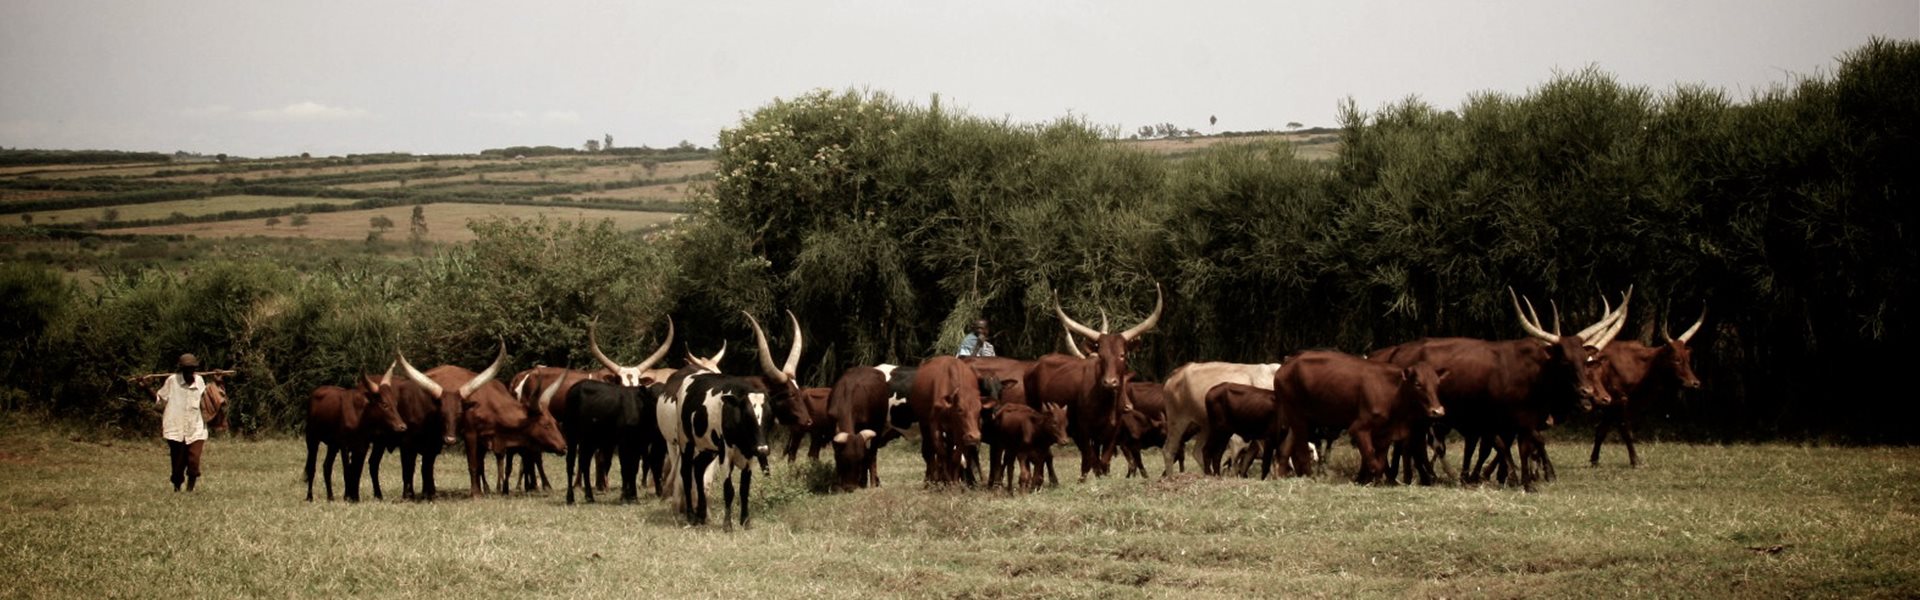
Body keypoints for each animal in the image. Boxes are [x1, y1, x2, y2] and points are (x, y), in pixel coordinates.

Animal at [301, 371, 407, 500]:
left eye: (395, 404)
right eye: (384, 404)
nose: (402, 427)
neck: (359, 416)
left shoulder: (362, 446)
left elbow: (357, 471)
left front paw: (355, 497)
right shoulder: (345, 446)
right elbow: (347, 471)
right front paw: (347, 496)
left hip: (333, 445)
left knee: (327, 466)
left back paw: (330, 497)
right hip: (312, 439)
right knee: (312, 468)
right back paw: (309, 497)